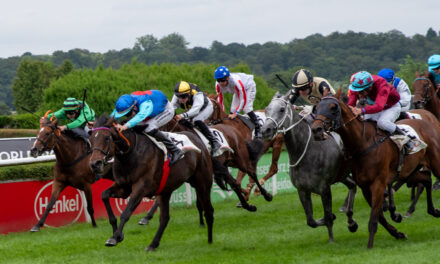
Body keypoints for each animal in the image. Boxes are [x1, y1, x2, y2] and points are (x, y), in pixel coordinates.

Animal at [88, 115, 215, 252]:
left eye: (107, 138)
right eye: (91, 139)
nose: (95, 164)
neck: (130, 153)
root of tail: (198, 140)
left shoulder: (141, 188)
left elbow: (126, 213)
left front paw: (115, 237)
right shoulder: (123, 187)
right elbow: (104, 195)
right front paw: (116, 234)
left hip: (203, 183)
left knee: (209, 211)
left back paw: (210, 241)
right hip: (166, 190)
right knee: (164, 218)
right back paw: (153, 244)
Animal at [262, 92, 358, 242]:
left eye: (282, 110)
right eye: (266, 109)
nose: (265, 130)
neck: (306, 151)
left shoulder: (324, 188)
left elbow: (327, 216)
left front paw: (331, 239)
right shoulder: (302, 190)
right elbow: (311, 221)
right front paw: (331, 218)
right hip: (342, 175)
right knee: (353, 185)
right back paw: (351, 221)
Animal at [312, 89, 440, 249]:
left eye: (333, 107)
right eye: (316, 107)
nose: (316, 129)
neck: (362, 143)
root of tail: (428, 121)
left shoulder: (378, 183)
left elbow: (374, 217)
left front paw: (369, 245)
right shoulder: (365, 186)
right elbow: (379, 217)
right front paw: (398, 233)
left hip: (434, 163)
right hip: (409, 172)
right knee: (426, 179)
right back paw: (433, 211)